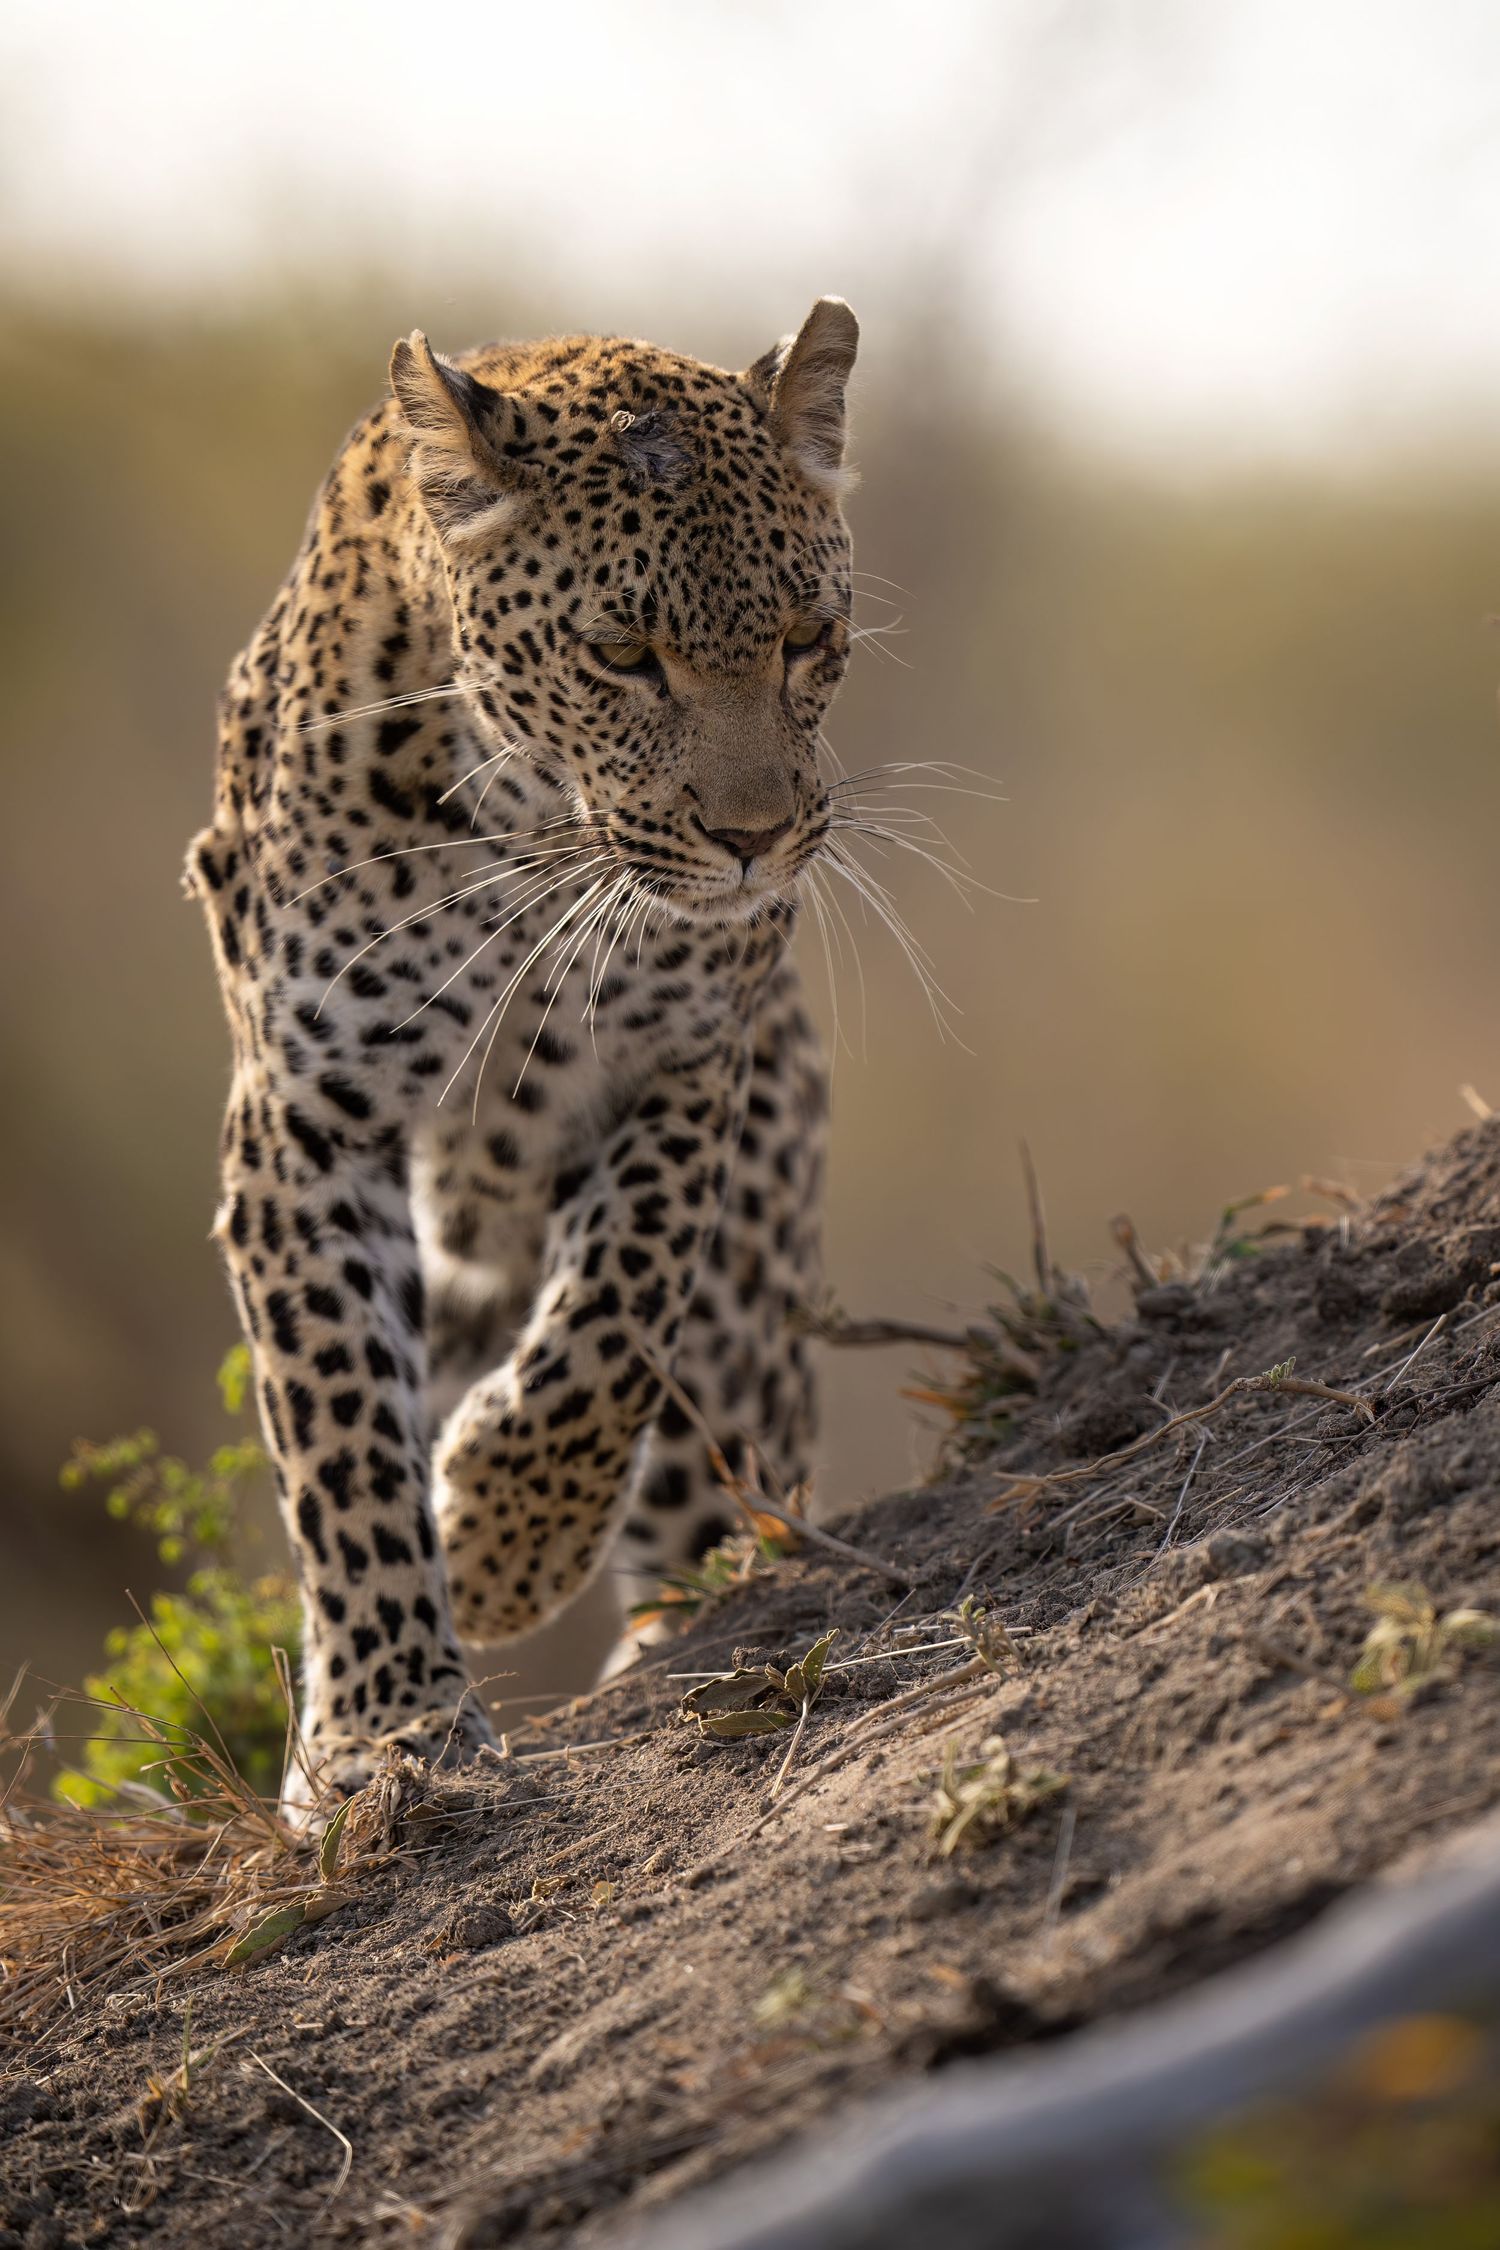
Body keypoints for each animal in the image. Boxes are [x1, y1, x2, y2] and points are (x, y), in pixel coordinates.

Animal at [186, 298, 861, 1803]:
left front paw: (503, 1538)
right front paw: (383, 1722)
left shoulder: (690, 1058)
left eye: (808, 637)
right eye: (621, 654)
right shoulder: (307, 1112)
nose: (755, 840)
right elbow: (340, 1427)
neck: (534, 833)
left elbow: (619, 1308)